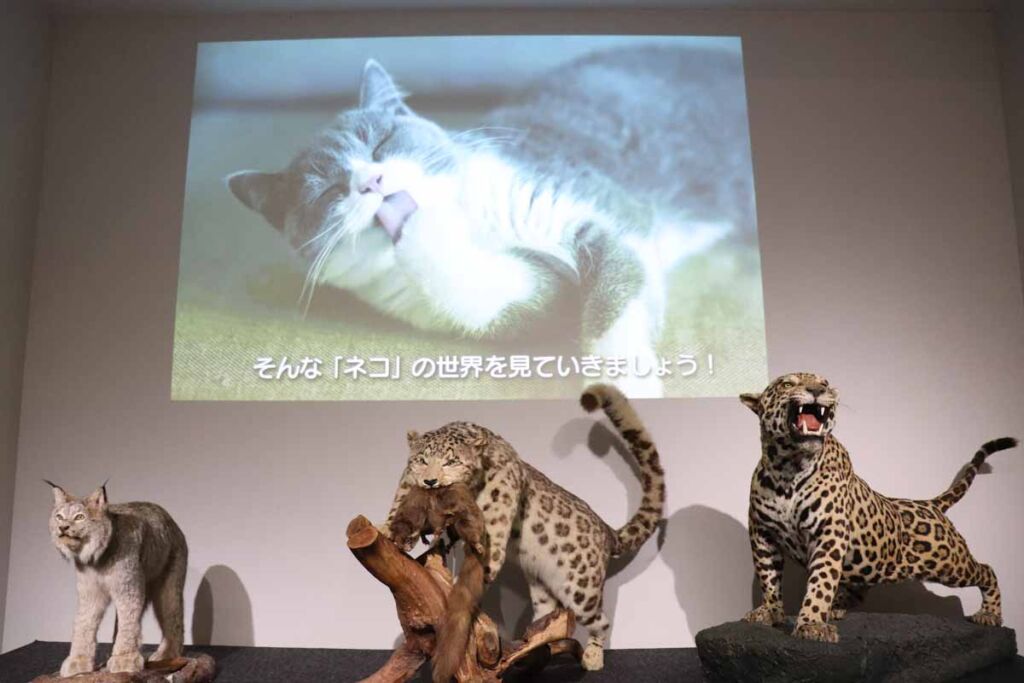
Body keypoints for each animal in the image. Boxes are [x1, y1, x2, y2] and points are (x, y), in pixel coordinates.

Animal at [46, 483, 188, 675]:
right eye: (59, 517)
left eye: (80, 517)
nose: (63, 528)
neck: (96, 558)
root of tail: (171, 520)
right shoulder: (90, 592)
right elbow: (83, 622)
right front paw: (78, 661)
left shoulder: (128, 588)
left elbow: (128, 621)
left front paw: (124, 660)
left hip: (167, 583)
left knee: (173, 613)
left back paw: (168, 655)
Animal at [234, 45, 761, 397]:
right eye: (327, 191)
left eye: (380, 143)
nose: (372, 182)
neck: (471, 224)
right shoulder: (509, 299)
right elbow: (501, 294)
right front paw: (420, 235)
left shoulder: (595, 206)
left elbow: (614, 296)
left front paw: (624, 391)